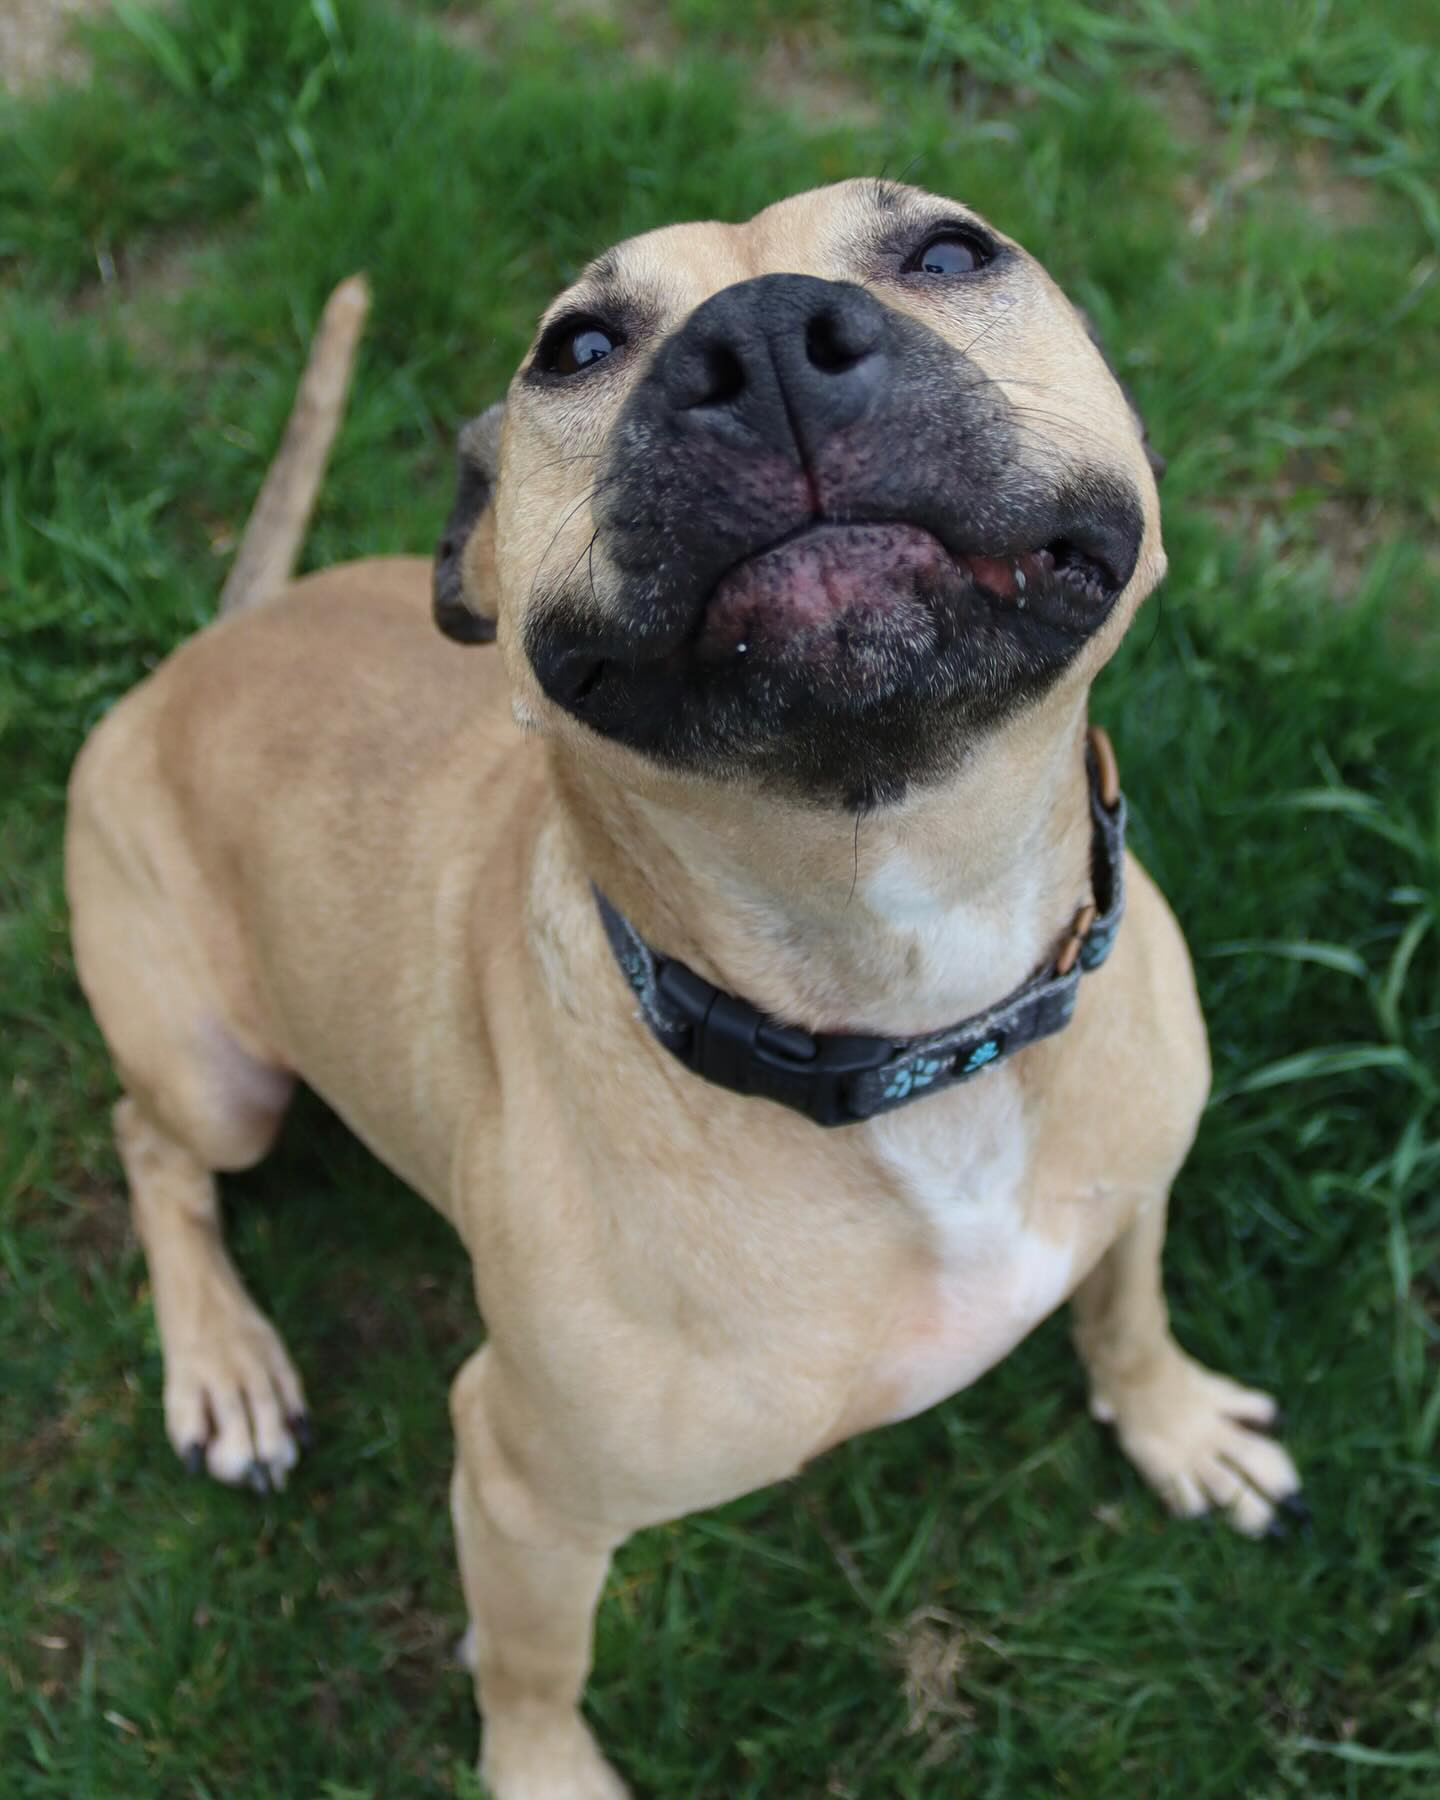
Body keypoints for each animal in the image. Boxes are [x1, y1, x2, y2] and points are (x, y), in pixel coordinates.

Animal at [67, 186, 1296, 1800]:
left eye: (950, 251)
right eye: (577, 347)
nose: (763, 341)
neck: (921, 1026)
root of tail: (200, 650)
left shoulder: (1134, 1177)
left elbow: (1128, 1301)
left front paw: (1172, 1419)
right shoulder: (521, 1484)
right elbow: (532, 1668)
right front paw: (544, 1773)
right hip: (222, 1075)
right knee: (151, 1146)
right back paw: (224, 1366)